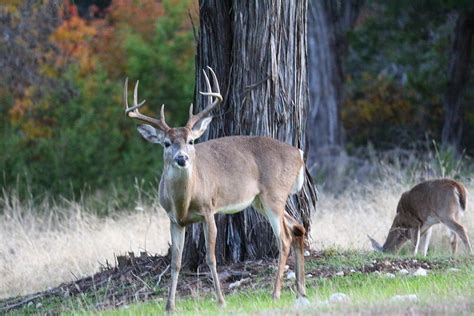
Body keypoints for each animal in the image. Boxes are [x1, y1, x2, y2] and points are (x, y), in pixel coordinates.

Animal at [122, 67, 308, 312]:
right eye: (166, 143)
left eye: (191, 141)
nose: (182, 158)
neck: (183, 202)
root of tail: (299, 154)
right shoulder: (174, 220)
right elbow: (176, 262)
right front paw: (169, 305)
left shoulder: (209, 209)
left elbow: (211, 257)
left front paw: (221, 300)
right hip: (260, 200)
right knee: (298, 227)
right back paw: (301, 290)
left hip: (274, 194)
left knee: (284, 238)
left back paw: (276, 293)